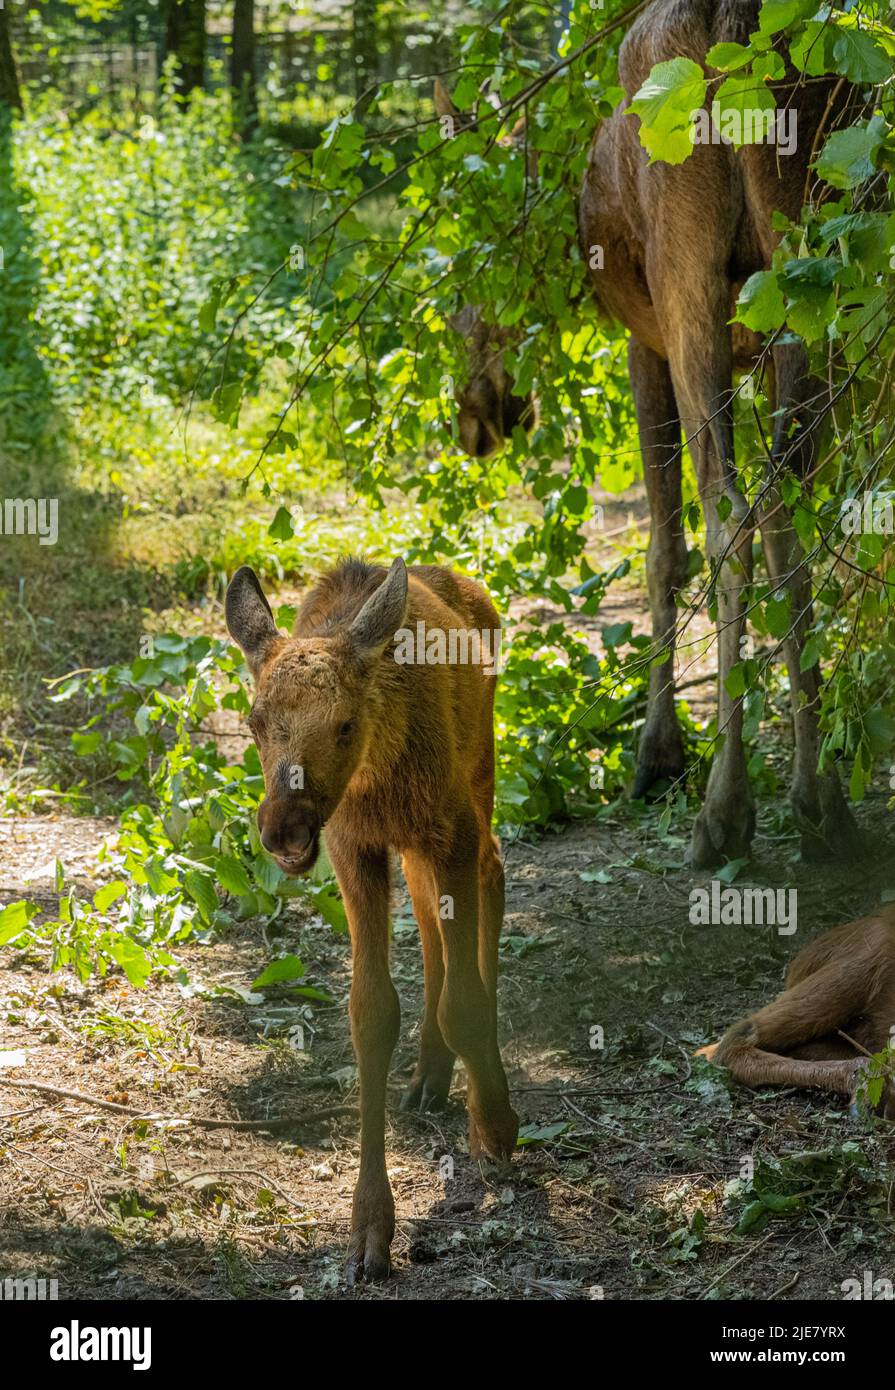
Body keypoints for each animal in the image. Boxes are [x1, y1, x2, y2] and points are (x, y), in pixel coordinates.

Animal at [225, 553, 516, 1278]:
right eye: (254, 720)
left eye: (344, 724)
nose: (284, 828)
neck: (378, 777)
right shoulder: (354, 844)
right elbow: (371, 1011)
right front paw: (368, 1229)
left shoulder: (449, 826)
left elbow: (463, 1002)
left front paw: (495, 1124)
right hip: (415, 842)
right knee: (428, 910)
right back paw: (430, 1075)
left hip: (480, 769)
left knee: (494, 869)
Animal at [439, 0, 861, 861]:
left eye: (470, 285)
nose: (477, 421)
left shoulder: (643, 345)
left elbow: (663, 550)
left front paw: (658, 755)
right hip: (811, 255)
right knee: (782, 508)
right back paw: (821, 797)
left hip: (685, 272)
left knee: (730, 515)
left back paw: (724, 810)